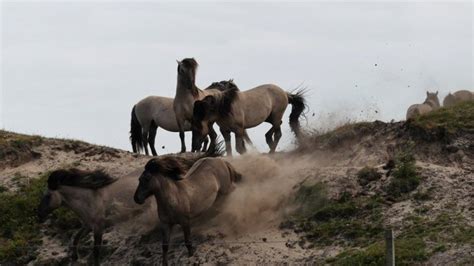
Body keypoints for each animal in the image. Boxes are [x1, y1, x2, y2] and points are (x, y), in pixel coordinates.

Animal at [37, 148, 222, 264]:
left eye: (47, 196)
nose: (39, 214)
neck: (91, 199)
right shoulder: (88, 225)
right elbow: (75, 237)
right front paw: (74, 257)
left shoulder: (98, 227)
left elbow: (96, 251)